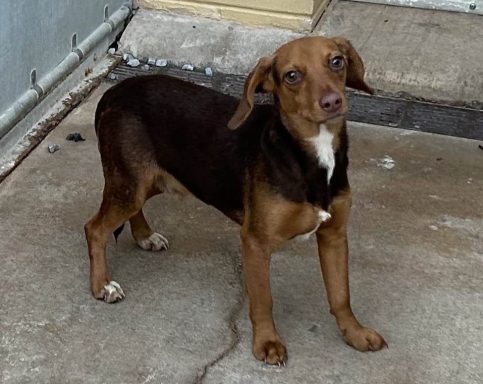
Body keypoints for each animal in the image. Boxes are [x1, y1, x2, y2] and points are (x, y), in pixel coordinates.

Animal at [85, 36, 388, 366]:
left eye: (336, 62)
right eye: (292, 76)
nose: (332, 102)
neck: (308, 154)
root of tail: (113, 92)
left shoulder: (334, 236)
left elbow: (341, 295)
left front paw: (355, 333)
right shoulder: (256, 242)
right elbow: (263, 300)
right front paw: (267, 343)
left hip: (146, 180)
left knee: (132, 209)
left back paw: (144, 236)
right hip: (130, 183)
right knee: (95, 228)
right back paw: (102, 286)